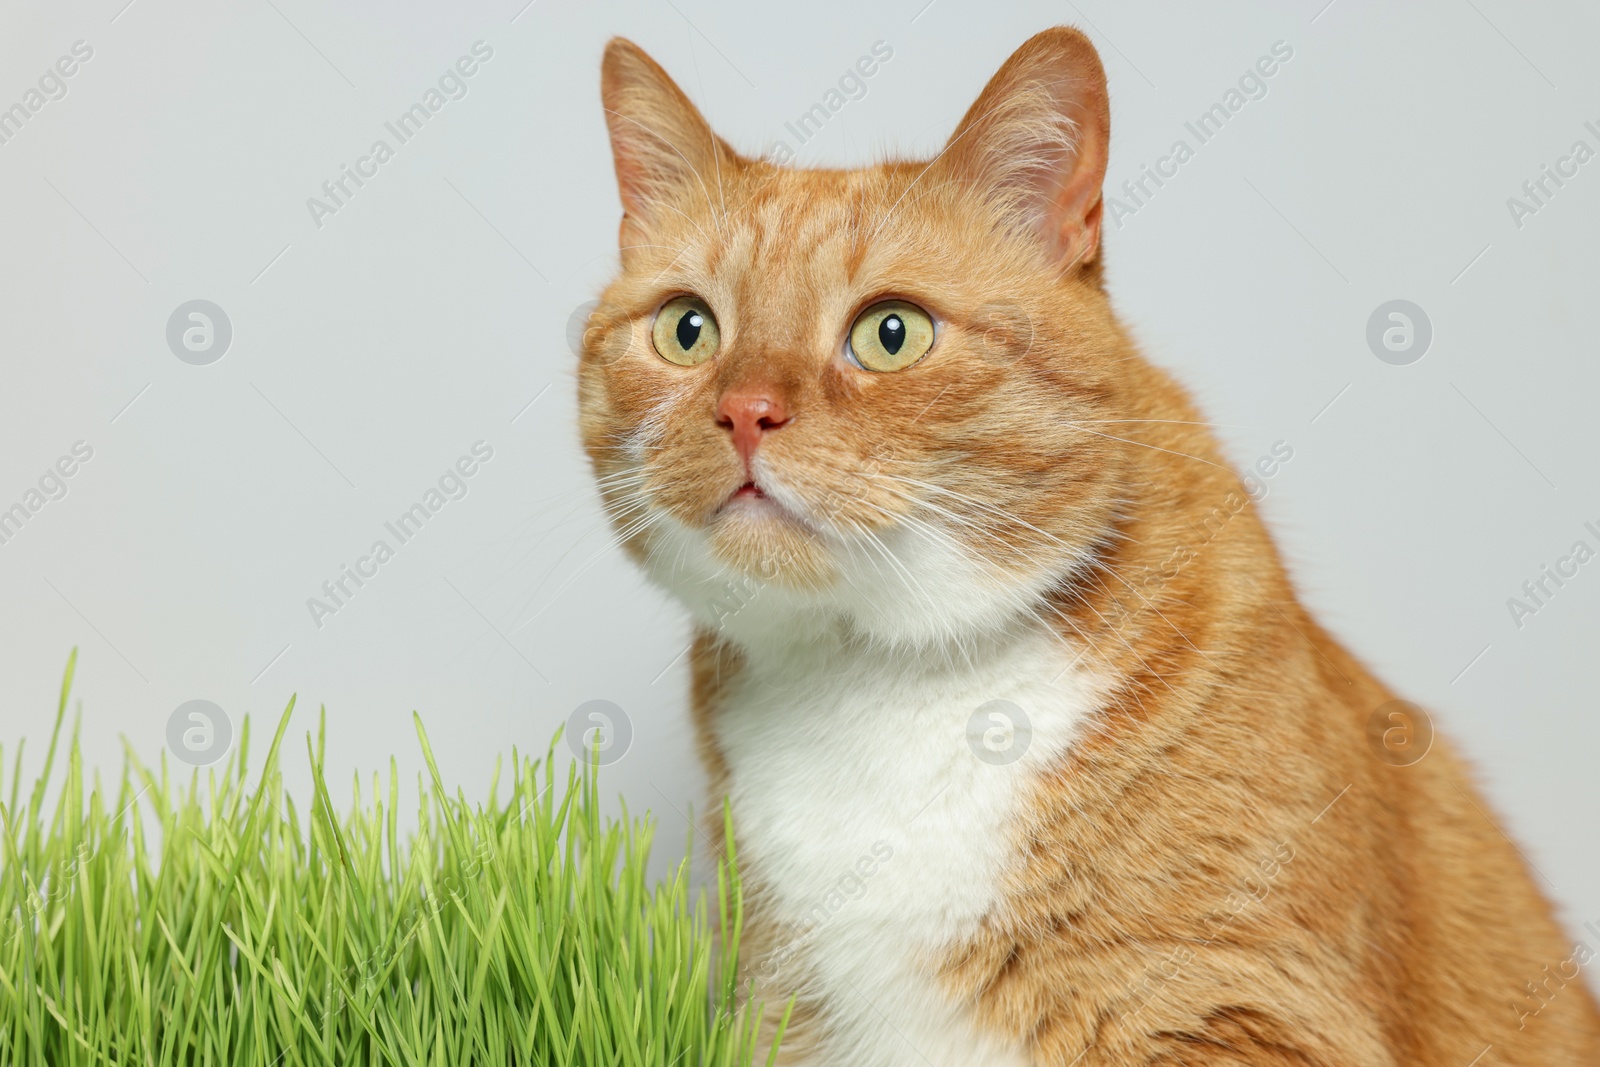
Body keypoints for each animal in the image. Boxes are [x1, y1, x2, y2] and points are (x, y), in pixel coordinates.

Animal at [582, 24, 1600, 1067]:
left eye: (892, 333)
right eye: (688, 328)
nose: (746, 410)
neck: (874, 675)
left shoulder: (1242, 1009)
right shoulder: (781, 1011)